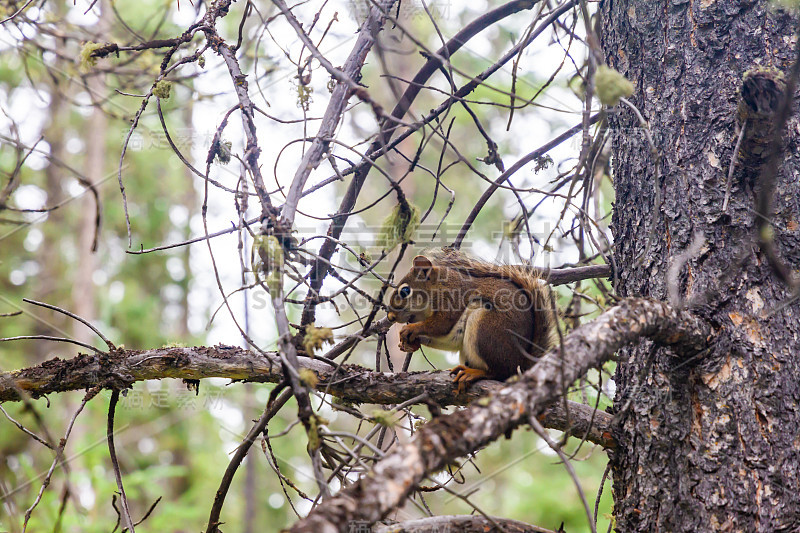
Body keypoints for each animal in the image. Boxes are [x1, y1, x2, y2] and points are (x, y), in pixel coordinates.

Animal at [388, 247, 556, 392]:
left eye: (405, 291)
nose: (390, 317)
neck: (439, 285)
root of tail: (521, 364)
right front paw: (409, 344)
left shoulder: (452, 299)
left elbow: (440, 325)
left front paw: (411, 329)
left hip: (486, 328)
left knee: (501, 372)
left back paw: (475, 373)